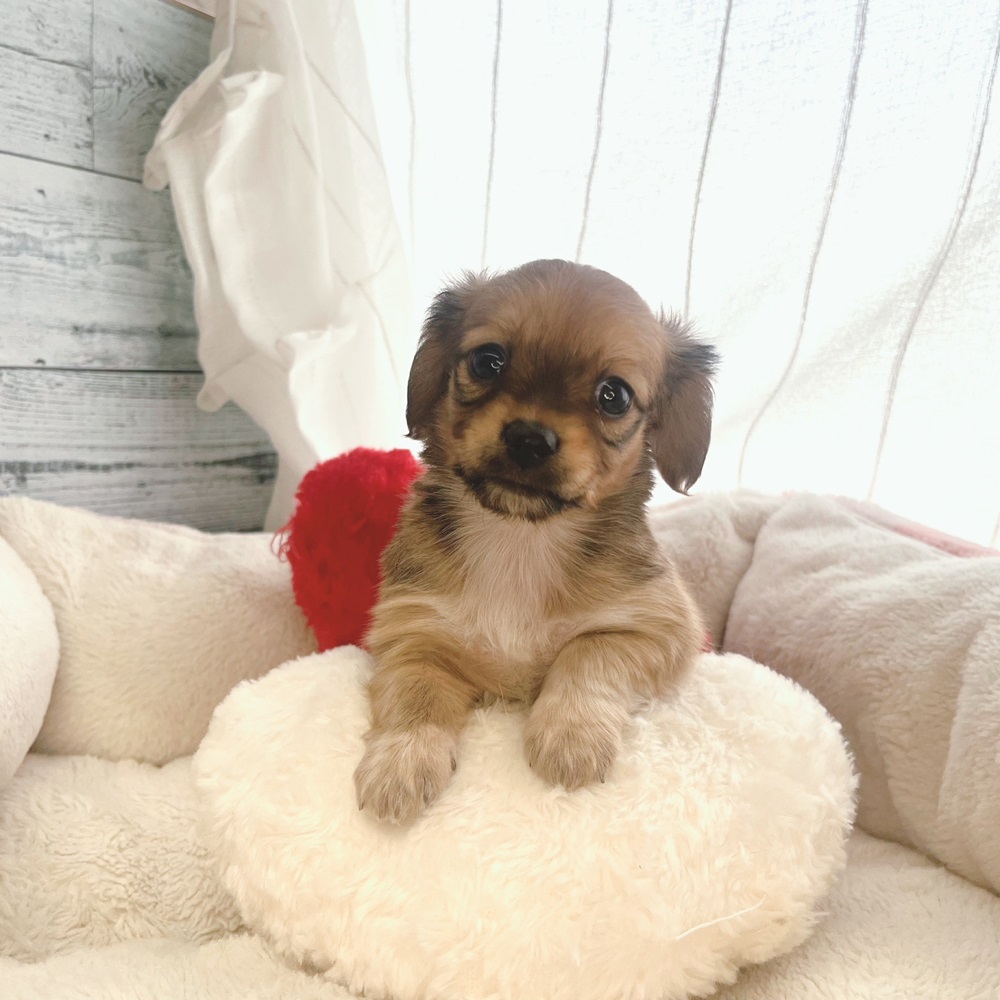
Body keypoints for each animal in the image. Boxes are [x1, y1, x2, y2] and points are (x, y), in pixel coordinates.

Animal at [353, 259, 718, 824]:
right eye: (487, 362)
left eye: (614, 395)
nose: (529, 438)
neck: (520, 537)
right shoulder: (411, 631)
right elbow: (415, 694)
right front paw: (401, 761)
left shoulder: (660, 630)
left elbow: (589, 651)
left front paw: (570, 736)